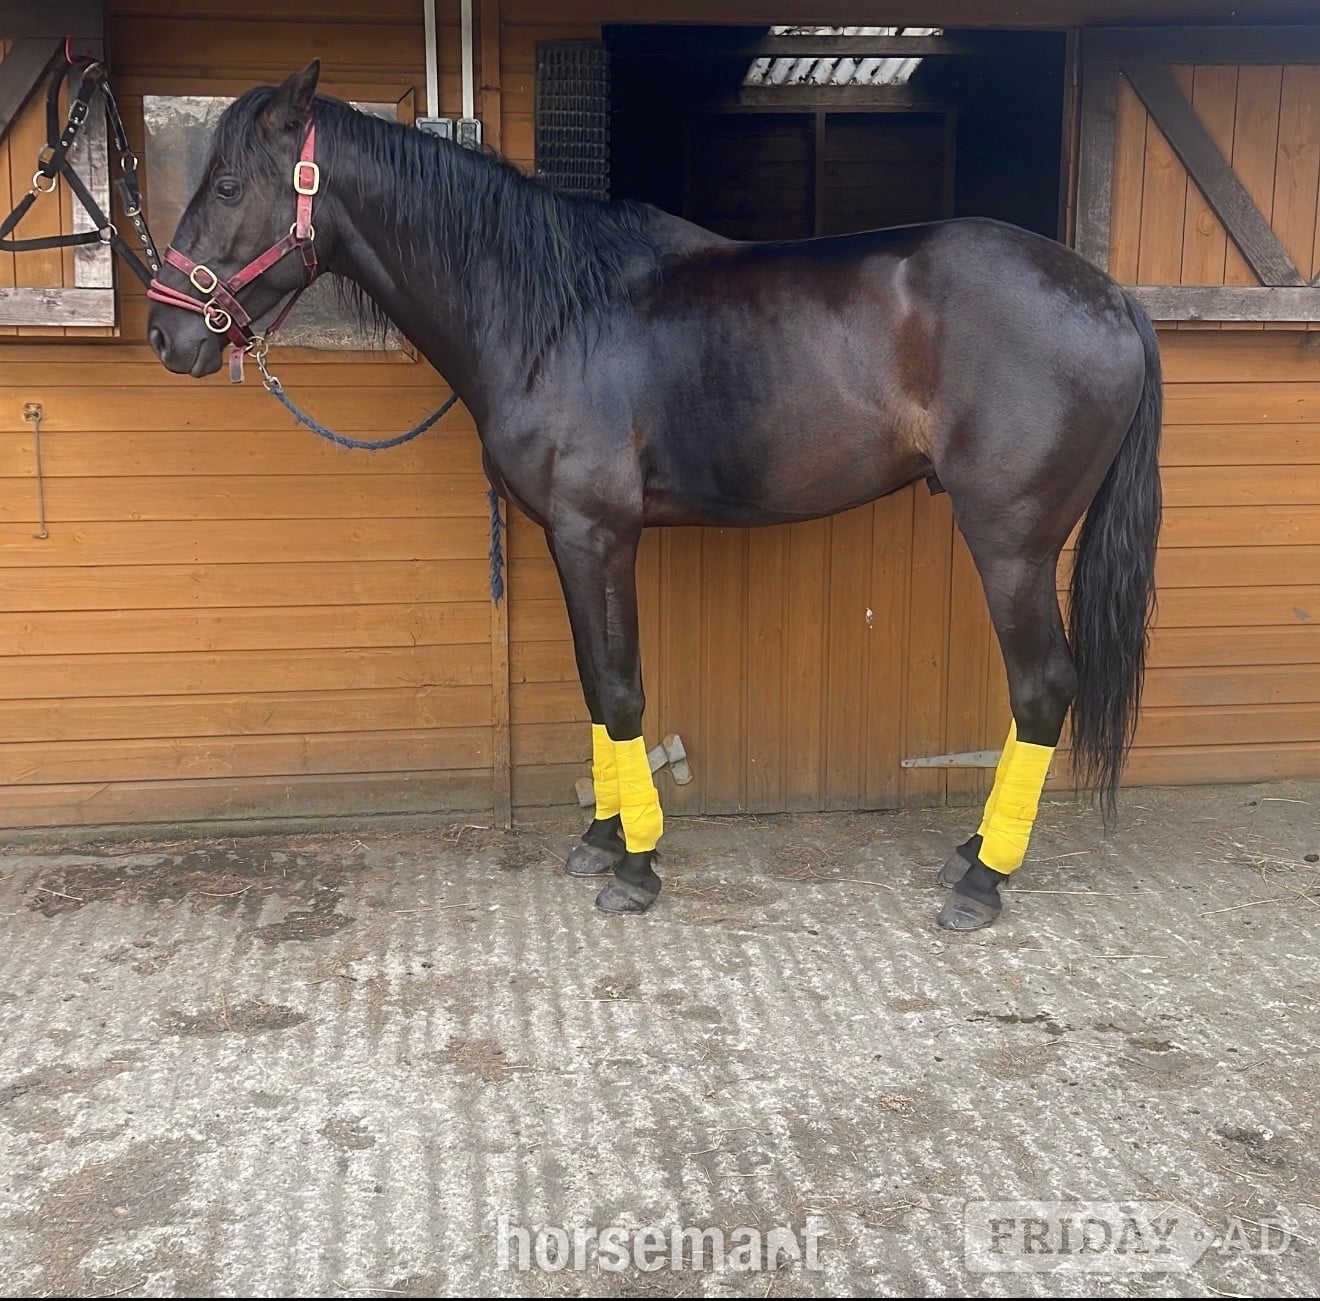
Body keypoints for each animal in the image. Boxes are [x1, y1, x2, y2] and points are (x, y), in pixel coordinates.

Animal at [146, 63, 1162, 931]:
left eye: (228, 187)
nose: (165, 332)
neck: (552, 312)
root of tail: (1110, 294)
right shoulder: (569, 539)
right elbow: (596, 686)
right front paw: (603, 839)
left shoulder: (598, 534)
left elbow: (622, 689)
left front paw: (636, 868)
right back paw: (971, 849)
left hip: (1012, 544)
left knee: (1042, 687)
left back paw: (983, 878)